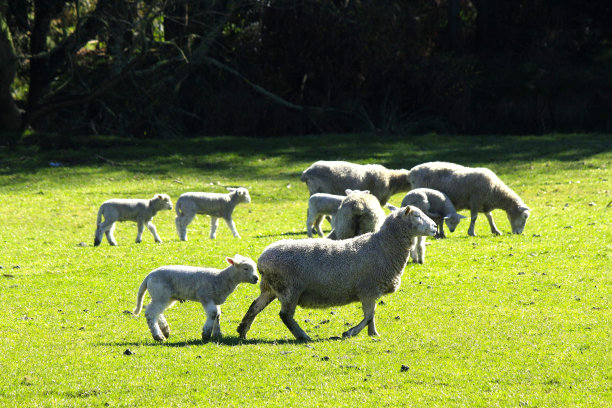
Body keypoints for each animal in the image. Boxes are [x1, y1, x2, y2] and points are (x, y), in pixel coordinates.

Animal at [237, 206, 438, 342]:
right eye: (417, 215)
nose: (436, 227)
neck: (383, 246)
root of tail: (262, 259)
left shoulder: (371, 291)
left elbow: (371, 315)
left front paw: (373, 334)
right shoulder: (368, 289)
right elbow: (369, 315)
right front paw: (350, 332)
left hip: (270, 288)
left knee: (255, 306)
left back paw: (243, 331)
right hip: (289, 289)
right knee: (285, 315)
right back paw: (303, 336)